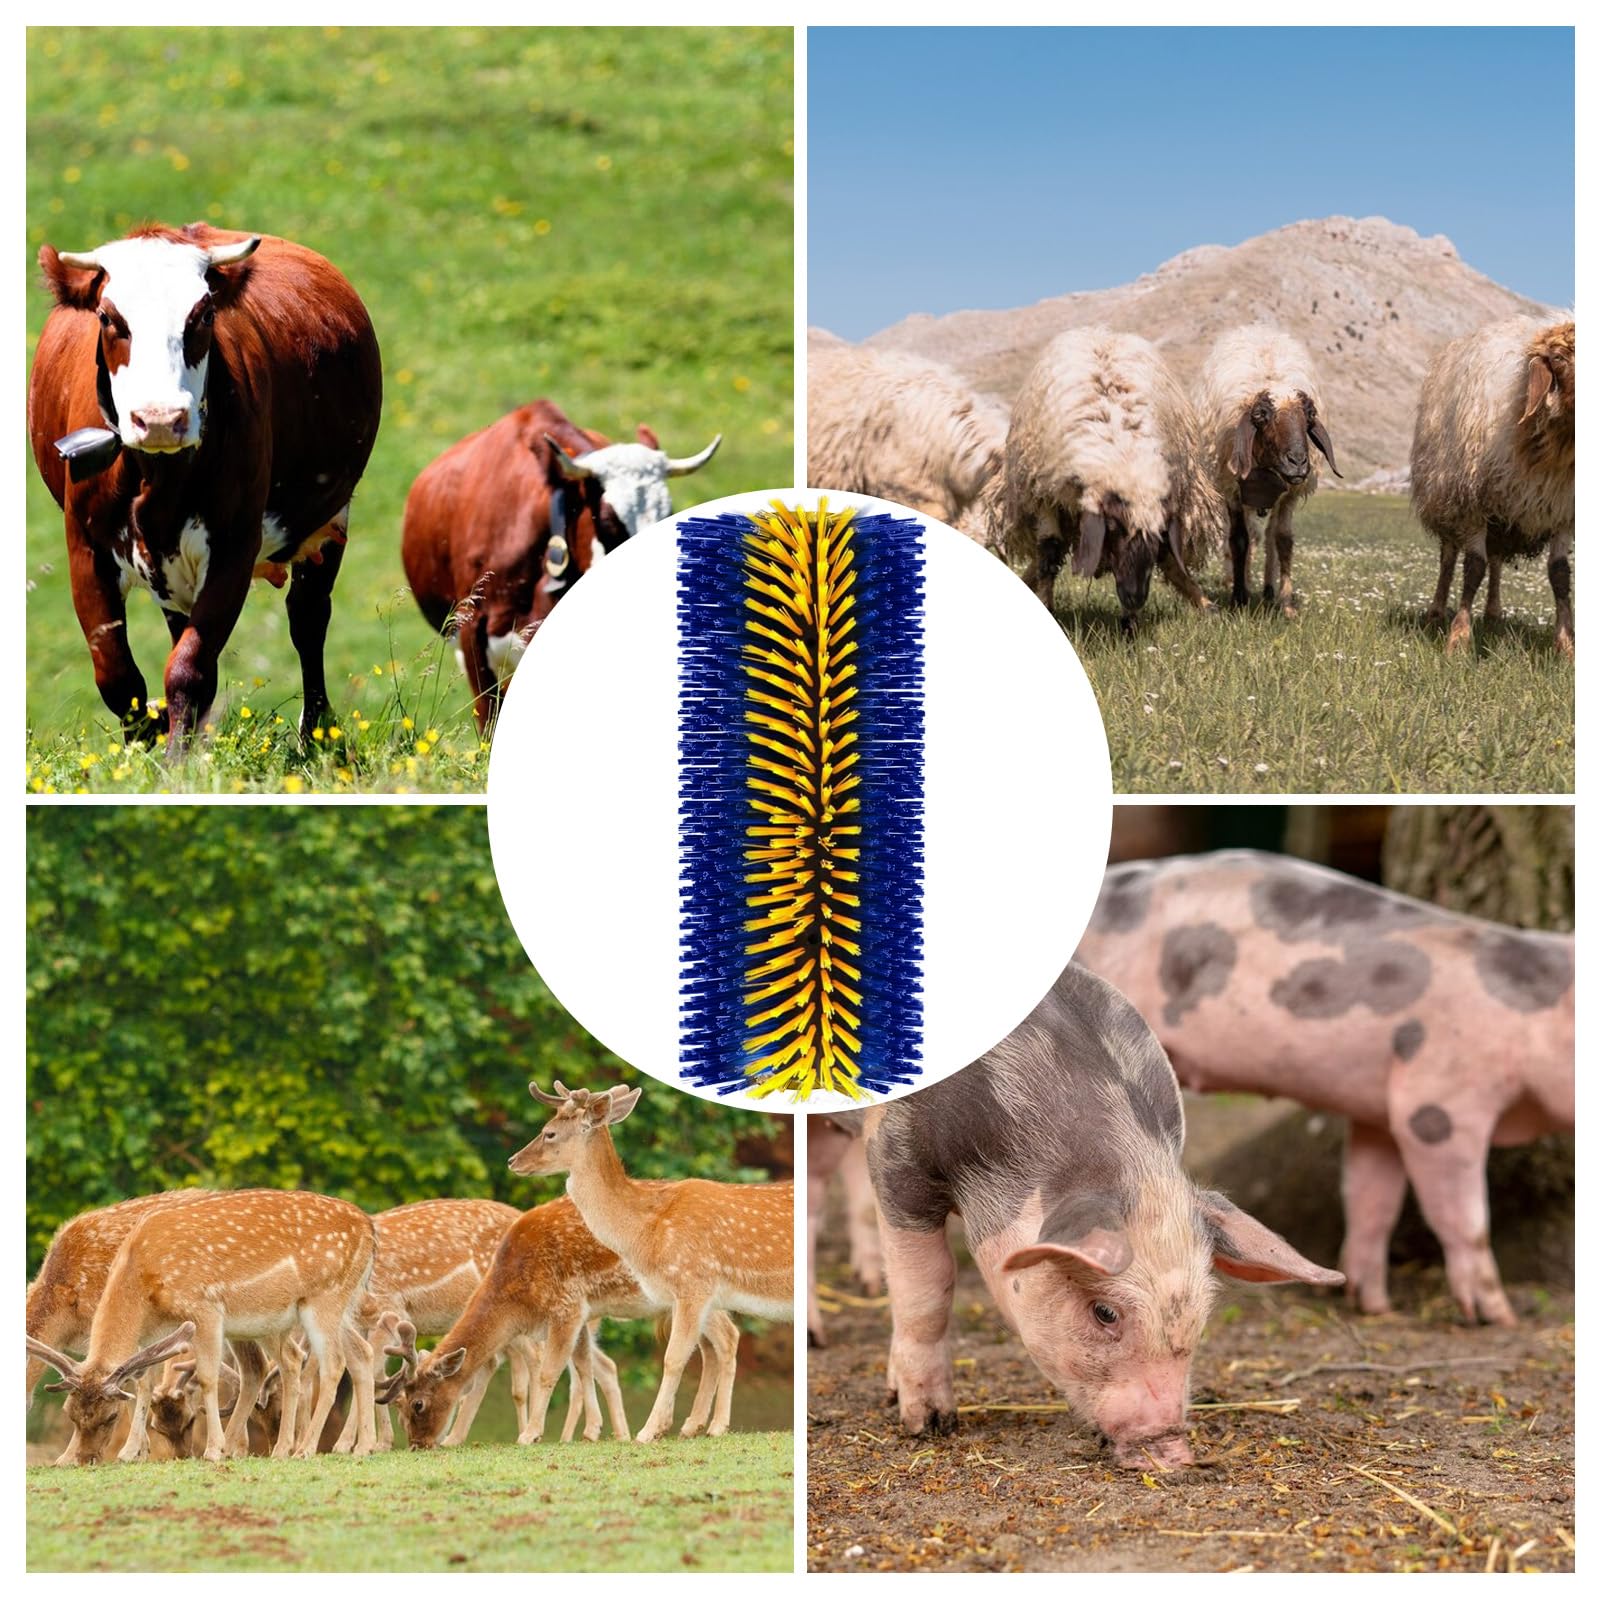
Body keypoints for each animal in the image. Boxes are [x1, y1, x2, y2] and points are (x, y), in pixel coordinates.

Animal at [28, 222, 383, 756]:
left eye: (204, 314)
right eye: (109, 318)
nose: (159, 418)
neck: (157, 476)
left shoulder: (235, 543)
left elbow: (190, 668)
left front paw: (176, 760)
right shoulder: (85, 548)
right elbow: (118, 676)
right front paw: (146, 745)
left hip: (328, 520)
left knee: (307, 619)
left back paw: (316, 732)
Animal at [1001, 327, 1225, 632]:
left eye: (1157, 534)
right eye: (1111, 526)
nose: (1134, 597)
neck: (1123, 456)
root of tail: (1100, 331)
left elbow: (1167, 557)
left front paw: (1131, 625)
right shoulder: (1045, 496)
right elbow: (1049, 553)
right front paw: (1048, 609)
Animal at [1193, 324, 1341, 618]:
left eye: (1309, 417)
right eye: (1262, 416)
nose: (1298, 462)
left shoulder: (1290, 494)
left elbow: (1283, 540)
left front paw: (1286, 603)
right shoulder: (1233, 490)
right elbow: (1239, 540)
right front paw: (1239, 597)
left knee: (1270, 536)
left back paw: (1269, 590)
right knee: (1248, 536)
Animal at [1411, 316, 1575, 655]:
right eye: (1558, 358)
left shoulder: (1562, 509)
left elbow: (1560, 575)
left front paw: (1566, 645)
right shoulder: (1472, 504)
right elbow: (1473, 568)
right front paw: (1459, 639)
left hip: (1502, 517)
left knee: (1497, 560)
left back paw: (1493, 613)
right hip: (1448, 500)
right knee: (1448, 560)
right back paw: (1436, 612)